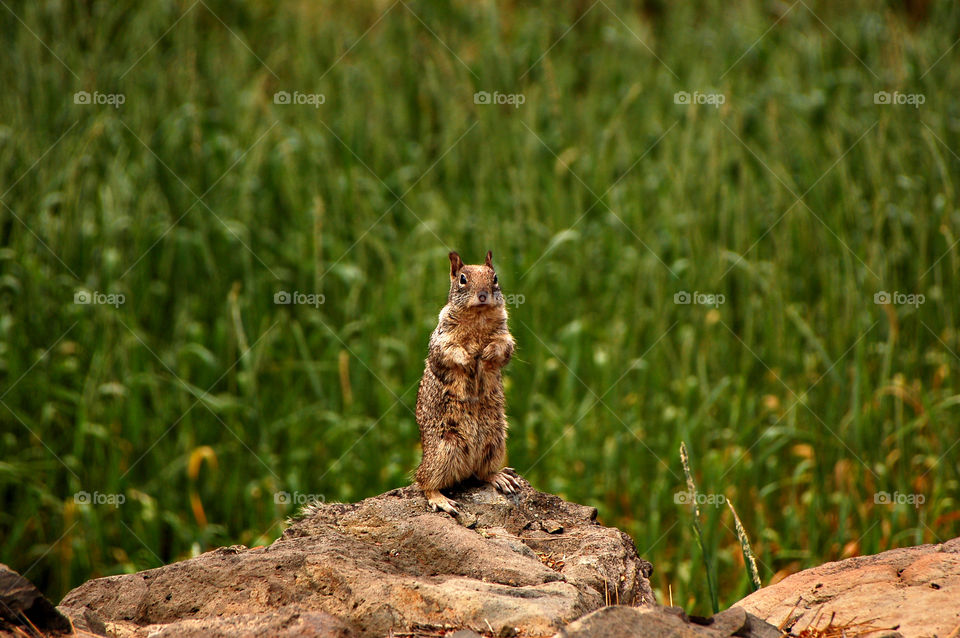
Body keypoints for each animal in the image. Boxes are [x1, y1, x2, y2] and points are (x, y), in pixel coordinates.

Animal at [412, 250, 516, 516]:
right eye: (462, 279)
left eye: (495, 278)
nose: (483, 295)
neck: (477, 317)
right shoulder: (443, 338)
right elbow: (450, 351)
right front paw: (469, 359)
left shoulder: (505, 334)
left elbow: (503, 347)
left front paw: (487, 353)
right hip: (444, 449)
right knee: (424, 482)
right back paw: (441, 499)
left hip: (495, 442)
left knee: (481, 473)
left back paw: (498, 477)